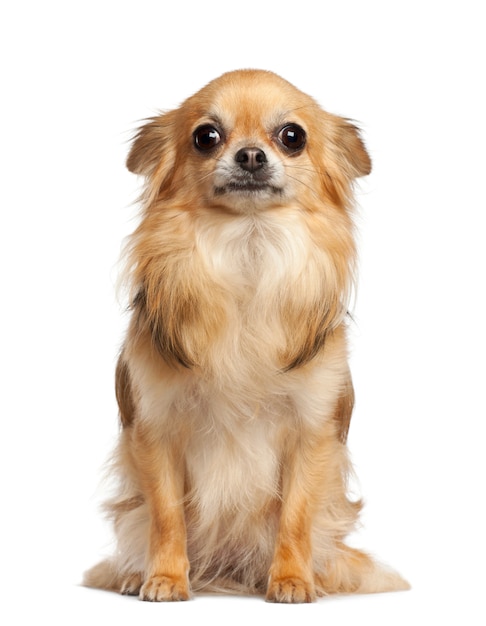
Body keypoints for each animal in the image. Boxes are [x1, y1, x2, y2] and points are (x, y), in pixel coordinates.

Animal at [84, 68, 410, 600]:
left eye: (292, 136)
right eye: (206, 136)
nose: (252, 155)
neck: (248, 252)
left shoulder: (310, 432)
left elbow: (295, 516)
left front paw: (292, 579)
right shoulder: (157, 430)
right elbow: (166, 516)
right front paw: (165, 578)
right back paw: (136, 574)